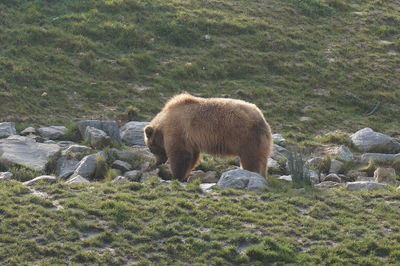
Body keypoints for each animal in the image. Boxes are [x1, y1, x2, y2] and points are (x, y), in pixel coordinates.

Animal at [143, 92, 272, 182]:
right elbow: (192, 157)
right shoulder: (191, 140)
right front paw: (184, 175)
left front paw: (176, 176)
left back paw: (252, 173)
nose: (158, 162)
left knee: (251, 159)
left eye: (151, 148)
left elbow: (180, 155)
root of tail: (261, 118)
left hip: (247, 137)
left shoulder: (178, 131)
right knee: (261, 159)